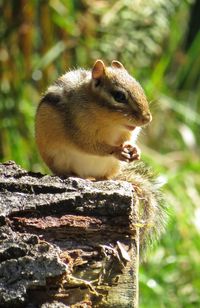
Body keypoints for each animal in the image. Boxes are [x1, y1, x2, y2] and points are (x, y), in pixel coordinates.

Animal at [34, 59, 167, 253]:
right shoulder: (80, 130)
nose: (147, 119)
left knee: (104, 177)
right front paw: (117, 151)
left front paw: (135, 150)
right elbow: (92, 146)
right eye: (119, 96)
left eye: (139, 87)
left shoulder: (128, 133)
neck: (110, 123)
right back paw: (76, 176)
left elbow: (128, 141)